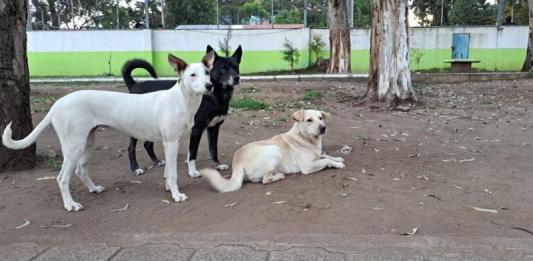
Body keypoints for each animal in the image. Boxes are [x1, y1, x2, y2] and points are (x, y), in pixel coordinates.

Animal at [2, 51, 214, 210]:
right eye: (192, 75)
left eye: (207, 72)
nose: (210, 85)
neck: (182, 100)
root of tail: (57, 104)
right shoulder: (171, 142)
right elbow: (173, 173)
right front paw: (176, 195)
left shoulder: (168, 143)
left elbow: (168, 172)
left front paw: (169, 189)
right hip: (74, 147)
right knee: (62, 178)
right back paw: (70, 204)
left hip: (88, 143)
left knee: (81, 169)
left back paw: (94, 189)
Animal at [120, 45, 241, 175]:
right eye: (223, 68)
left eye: (236, 67)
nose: (237, 78)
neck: (215, 95)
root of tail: (134, 84)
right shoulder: (197, 129)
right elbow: (193, 153)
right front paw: (192, 171)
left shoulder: (214, 128)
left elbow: (213, 149)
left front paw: (218, 165)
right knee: (131, 148)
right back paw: (135, 168)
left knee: (147, 144)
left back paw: (156, 161)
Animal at [200, 108, 344, 192]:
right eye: (309, 120)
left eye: (321, 118)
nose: (323, 127)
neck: (305, 138)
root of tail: (237, 162)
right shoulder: (307, 167)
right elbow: (325, 161)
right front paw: (337, 164)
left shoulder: (317, 155)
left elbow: (326, 156)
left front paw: (337, 159)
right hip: (274, 149)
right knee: (265, 179)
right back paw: (279, 175)